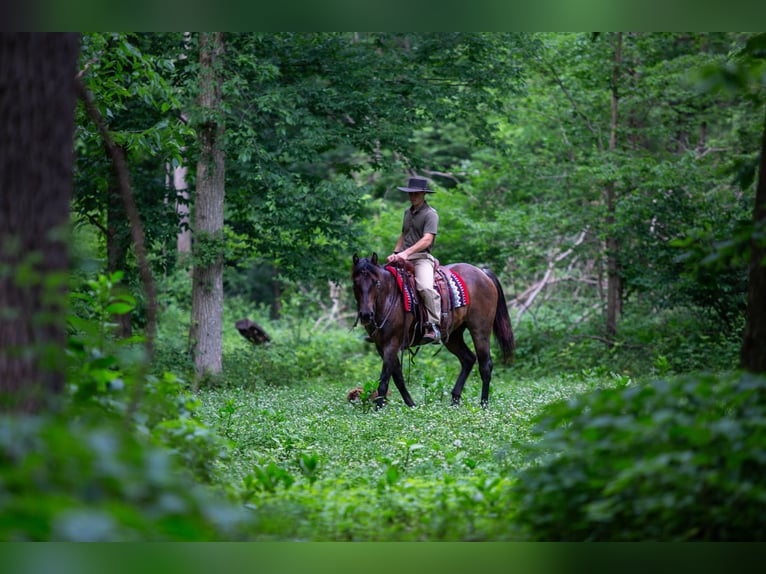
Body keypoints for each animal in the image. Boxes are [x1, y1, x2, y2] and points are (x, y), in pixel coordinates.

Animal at [351, 253, 515, 409]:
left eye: (376, 282)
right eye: (355, 283)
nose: (366, 315)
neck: (390, 298)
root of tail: (482, 272)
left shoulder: (392, 343)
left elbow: (385, 379)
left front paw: (378, 408)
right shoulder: (381, 345)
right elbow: (398, 377)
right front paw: (412, 405)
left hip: (480, 330)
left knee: (485, 365)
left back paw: (484, 405)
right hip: (453, 336)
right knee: (468, 359)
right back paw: (454, 401)